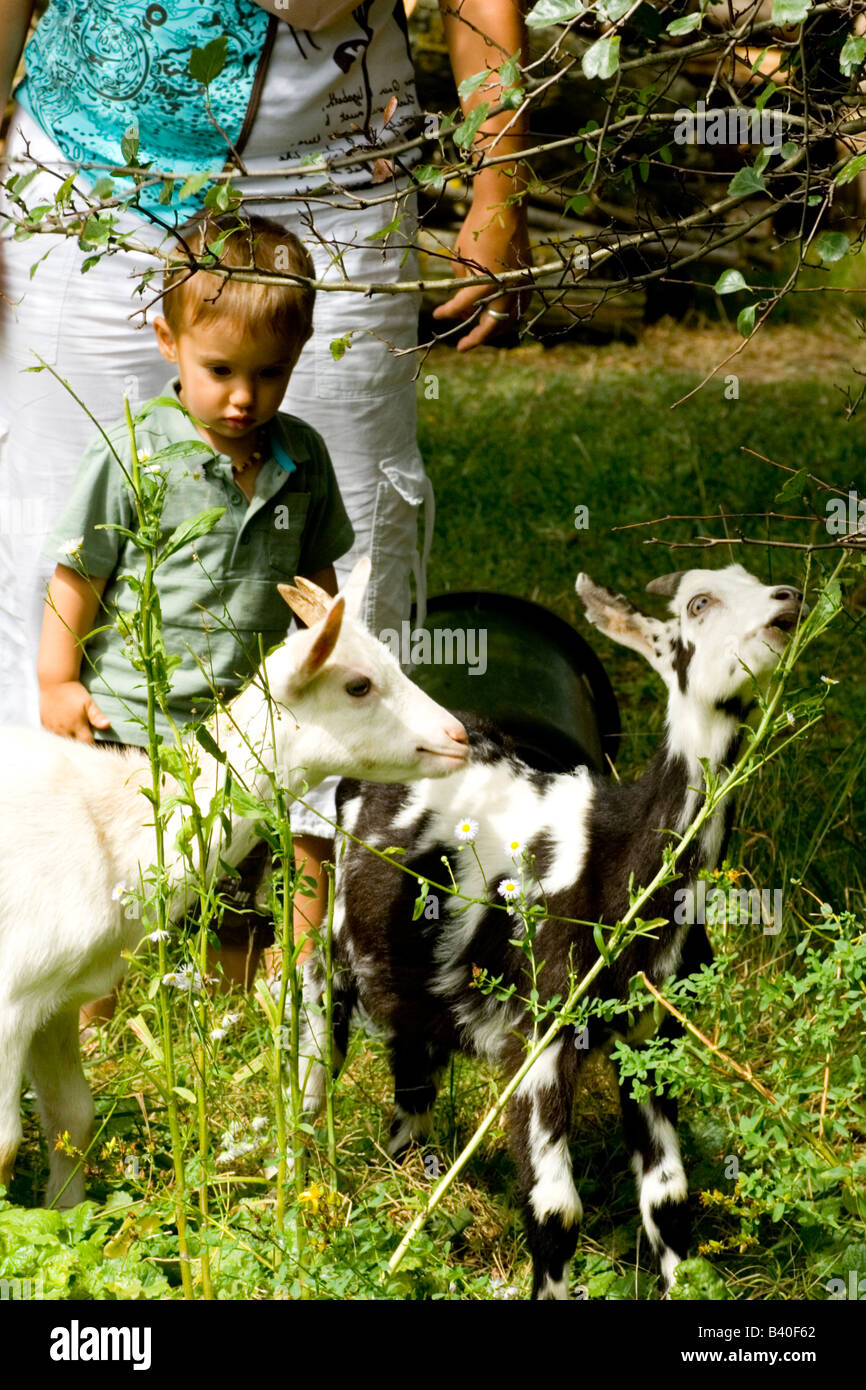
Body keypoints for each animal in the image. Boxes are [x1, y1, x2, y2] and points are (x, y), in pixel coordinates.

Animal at [0, 558, 467, 1212]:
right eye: (358, 685)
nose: (458, 737)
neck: (112, 828)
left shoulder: (54, 998)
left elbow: (72, 1115)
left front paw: (65, 1214)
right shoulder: (10, 996)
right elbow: (5, 1143)